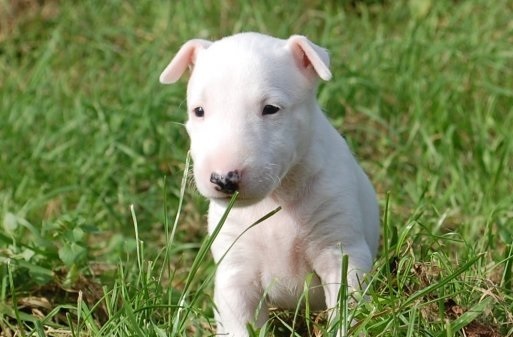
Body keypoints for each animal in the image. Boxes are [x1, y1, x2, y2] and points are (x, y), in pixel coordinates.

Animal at [160, 32, 380, 336]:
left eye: (271, 109)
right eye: (199, 111)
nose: (223, 179)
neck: (276, 198)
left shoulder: (341, 250)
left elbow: (347, 303)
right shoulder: (235, 269)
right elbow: (240, 323)